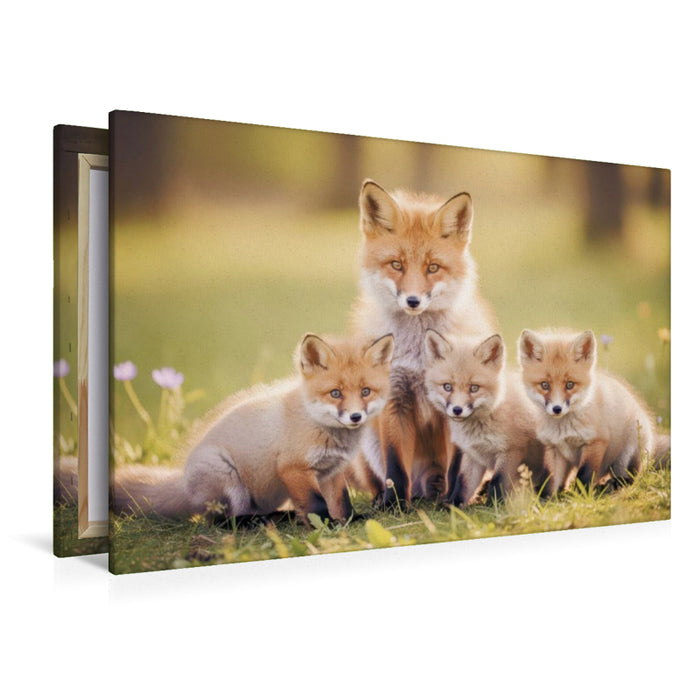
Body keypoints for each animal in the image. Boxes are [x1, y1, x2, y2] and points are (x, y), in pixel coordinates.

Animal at [113, 333, 394, 525]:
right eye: (335, 393)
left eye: (366, 391)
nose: (355, 416)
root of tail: (183, 482)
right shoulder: (293, 468)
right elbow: (316, 504)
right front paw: (326, 525)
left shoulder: (331, 471)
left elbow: (341, 502)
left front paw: (350, 520)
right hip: (229, 480)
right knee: (221, 521)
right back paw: (257, 523)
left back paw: (281, 516)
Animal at [351, 179, 496, 506]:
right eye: (396, 265)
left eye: (433, 268)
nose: (413, 301)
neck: (419, 352)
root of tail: (426, 484)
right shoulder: (395, 399)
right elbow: (394, 466)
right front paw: (393, 505)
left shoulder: (456, 404)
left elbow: (458, 465)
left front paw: (454, 500)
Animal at [424, 330, 545, 506]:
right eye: (447, 387)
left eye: (474, 388)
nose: (457, 410)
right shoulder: (473, 455)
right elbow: (463, 483)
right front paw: (453, 504)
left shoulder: (511, 450)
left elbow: (497, 481)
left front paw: (494, 506)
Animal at [518, 328, 666, 493]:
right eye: (544, 385)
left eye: (570, 385)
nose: (557, 409)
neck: (564, 430)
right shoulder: (554, 447)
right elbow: (550, 479)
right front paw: (546, 497)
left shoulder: (596, 442)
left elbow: (584, 475)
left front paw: (582, 495)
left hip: (628, 451)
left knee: (629, 477)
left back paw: (612, 484)